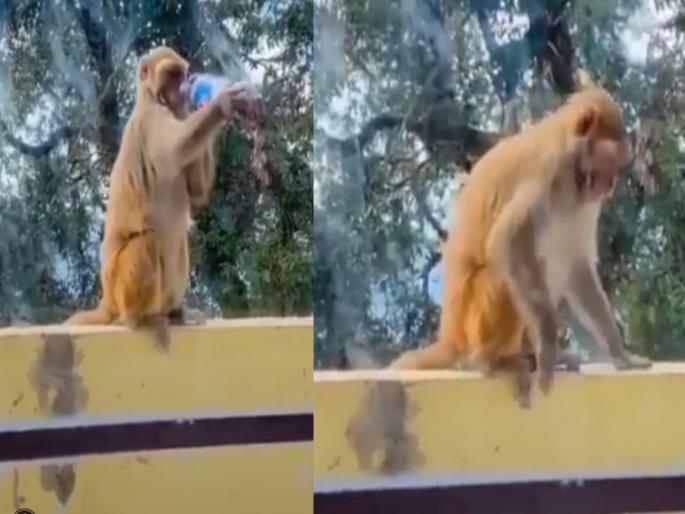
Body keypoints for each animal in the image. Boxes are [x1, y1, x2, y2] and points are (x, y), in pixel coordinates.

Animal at [64, 46, 253, 349]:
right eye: (171, 75)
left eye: (181, 74)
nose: (182, 88)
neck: (153, 99)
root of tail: (108, 301)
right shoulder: (152, 120)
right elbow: (176, 147)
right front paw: (221, 102)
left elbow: (197, 191)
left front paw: (201, 102)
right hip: (120, 289)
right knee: (147, 243)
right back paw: (140, 319)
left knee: (179, 243)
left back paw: (175, 312)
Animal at [390, 86, 651, 407]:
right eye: (610, 161)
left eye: (618, 164)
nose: (610, 185)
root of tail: (451, 333)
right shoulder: (548, 173)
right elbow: (507, 243)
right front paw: (549, 346)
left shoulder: (584, 199)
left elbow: (577, 266)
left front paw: (620, 353)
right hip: (475, 321)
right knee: (505, 271)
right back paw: (493, 361)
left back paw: (528, 354)